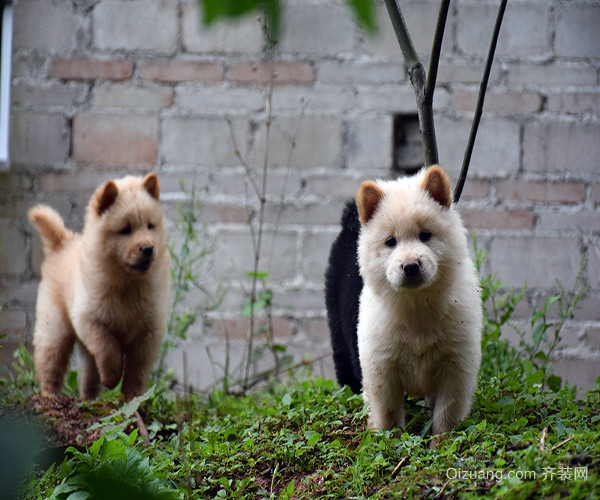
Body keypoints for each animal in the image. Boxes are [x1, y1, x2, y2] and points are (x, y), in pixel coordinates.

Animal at [30, 174, 171, 400]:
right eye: (126, 230)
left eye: (150, 226)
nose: (148, 248)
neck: (128, 282)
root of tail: (62, 244)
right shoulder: (90, 318)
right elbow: (109, 349)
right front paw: (112, 379)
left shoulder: (148, 331)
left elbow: (137, 372)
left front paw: (133, 399)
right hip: (55, 326)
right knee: (50, 365)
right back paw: (50, 397)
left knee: (88, 375)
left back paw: (88, 399)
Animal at [356, 166, 482, 436]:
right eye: (390, 241)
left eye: (425, 235)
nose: (411, 266)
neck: (417, 304)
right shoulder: (382, 365)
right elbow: (388, 414)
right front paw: (392, 441)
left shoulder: (457, 364)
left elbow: (447, 415)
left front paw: (440, 442)